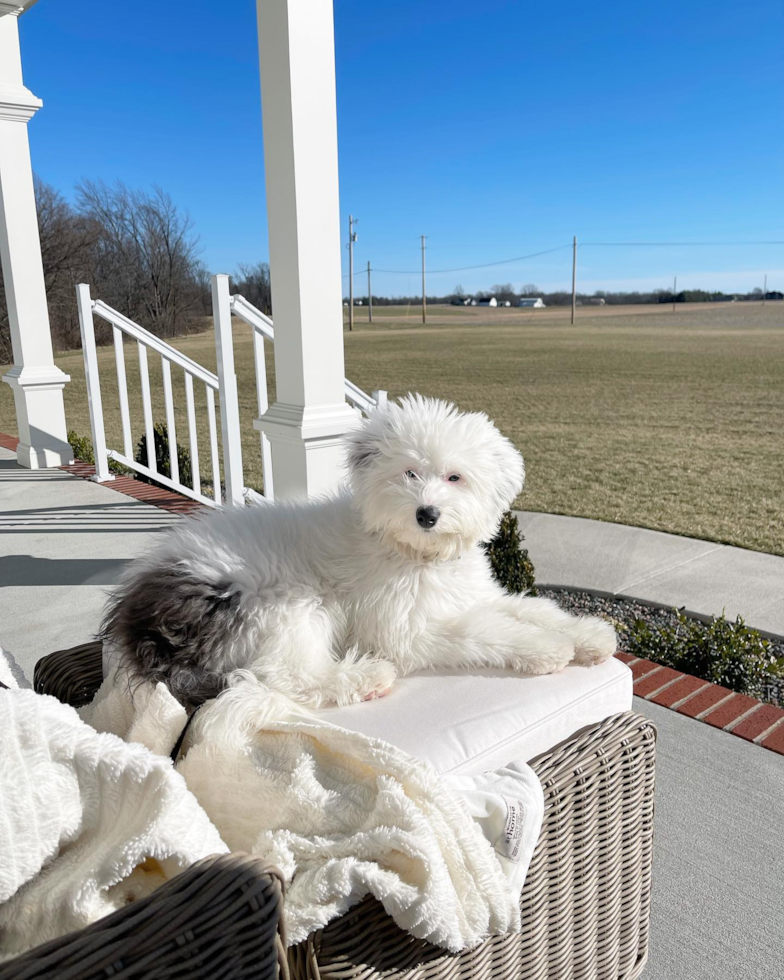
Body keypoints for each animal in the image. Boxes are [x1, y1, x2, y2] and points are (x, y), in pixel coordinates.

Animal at [105, 394, 620, 708]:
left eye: (454, 477)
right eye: (408, 473)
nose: (427, 513)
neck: (413, 553)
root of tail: (142, 624)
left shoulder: (474, 594)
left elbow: (529, 608)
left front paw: (588, 635)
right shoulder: (404, 631)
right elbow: (485, 630)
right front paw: (548, 648)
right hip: (280, 605)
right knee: (281, 677)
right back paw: (366, 677)